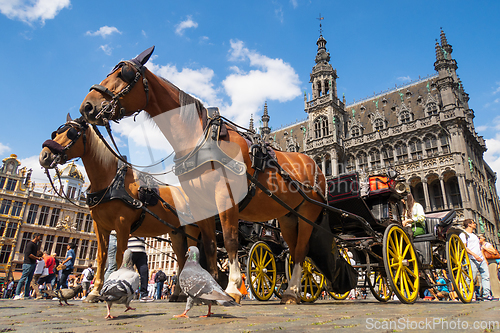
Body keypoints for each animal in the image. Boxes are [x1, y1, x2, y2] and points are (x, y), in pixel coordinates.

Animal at [39, 115, 219, 302]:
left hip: (191, 229)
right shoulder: (100, 226)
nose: (44, 156)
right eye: (55, 133)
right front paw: (95, 292)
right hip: (176, 232)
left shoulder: (122, 225)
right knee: (182, 262)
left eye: (72, 133)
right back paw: (178, 295)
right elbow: (101, 258)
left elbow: (120, 256)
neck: (110, 181)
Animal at [79, 46, 326, 304]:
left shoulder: (226, 197)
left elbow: (230, 239)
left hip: (308, 212)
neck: (200, 138)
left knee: (300, 251)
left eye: (124, 74)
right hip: (288, 216)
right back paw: (291, 291)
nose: (87, 106)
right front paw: (212, 288)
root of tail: (313, 164)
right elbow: (208, 246)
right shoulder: (202, 204)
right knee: (293, 249)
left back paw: (293, 291)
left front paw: (233, 288)